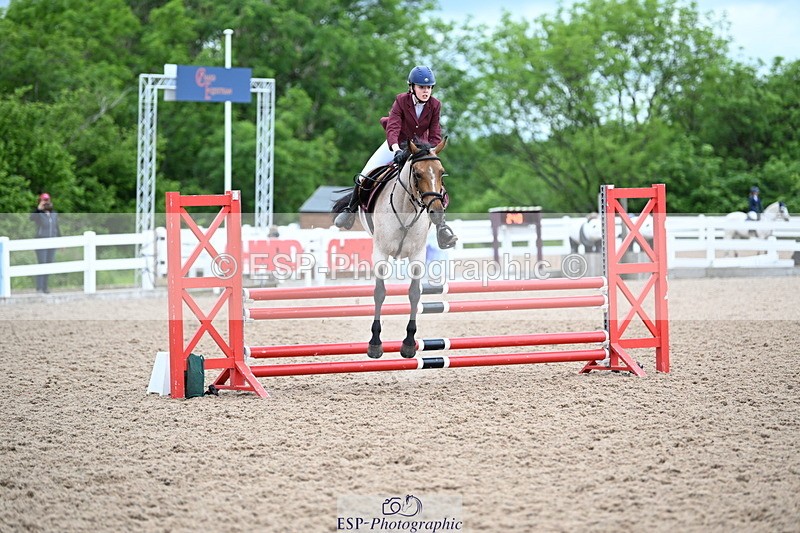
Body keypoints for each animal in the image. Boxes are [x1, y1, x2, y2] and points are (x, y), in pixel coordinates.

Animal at [332, 138, 449, 359]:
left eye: (441, 172)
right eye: (417, 174)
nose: (437, 213)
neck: (405, 209)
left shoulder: (417, 255)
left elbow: (414, 294)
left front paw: (409, 344)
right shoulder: (381, 253)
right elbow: (379, 293)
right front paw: (375, 344)